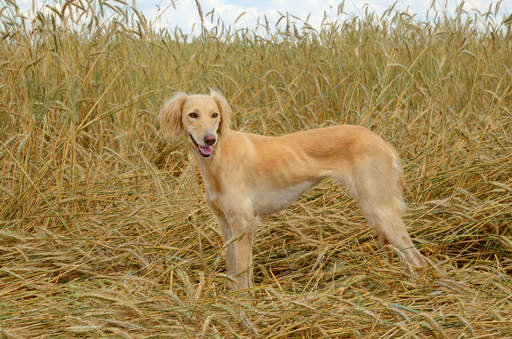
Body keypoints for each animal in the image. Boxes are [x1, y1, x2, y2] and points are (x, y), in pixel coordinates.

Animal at [158, 90, 426, 292]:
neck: (219, 157)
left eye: (214, 115)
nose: (209, 139)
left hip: (379, 209)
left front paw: (242, 304)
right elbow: (234, 267)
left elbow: (242, 272)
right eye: (193, 114)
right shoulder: (226, 222)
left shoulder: (243, 222)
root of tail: (383, 142)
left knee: (417, 260)